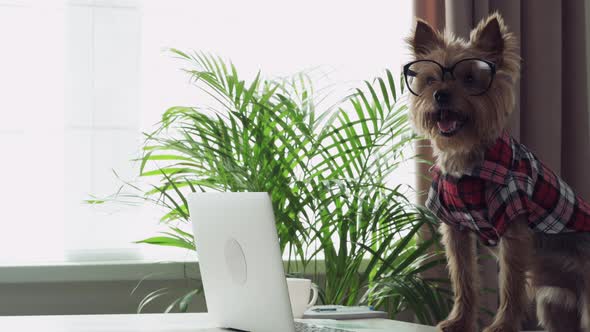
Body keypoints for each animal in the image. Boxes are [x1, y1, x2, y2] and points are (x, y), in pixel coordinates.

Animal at [408, 12, 590, 332]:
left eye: (470, 78)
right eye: (430, 79)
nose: (440, 95)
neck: (466, 158)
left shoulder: (513, 224)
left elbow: (511, 283)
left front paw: (503, 325)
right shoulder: (454, 227)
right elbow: (463, 277)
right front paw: (459, 321)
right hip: (555, 304)